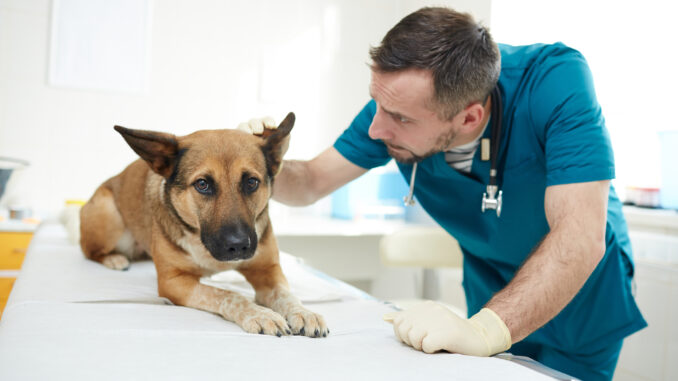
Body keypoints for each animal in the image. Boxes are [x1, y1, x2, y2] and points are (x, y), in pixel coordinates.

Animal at [79, 112, 330, 336]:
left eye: (251, 182)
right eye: (202, 184)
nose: (239, 246)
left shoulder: (268, 270)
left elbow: (286, 294)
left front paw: (303, 312)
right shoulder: (173, 282)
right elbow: (229, 295)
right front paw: (259, 314)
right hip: (108, 213)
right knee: (89, 250)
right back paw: (114, 258)